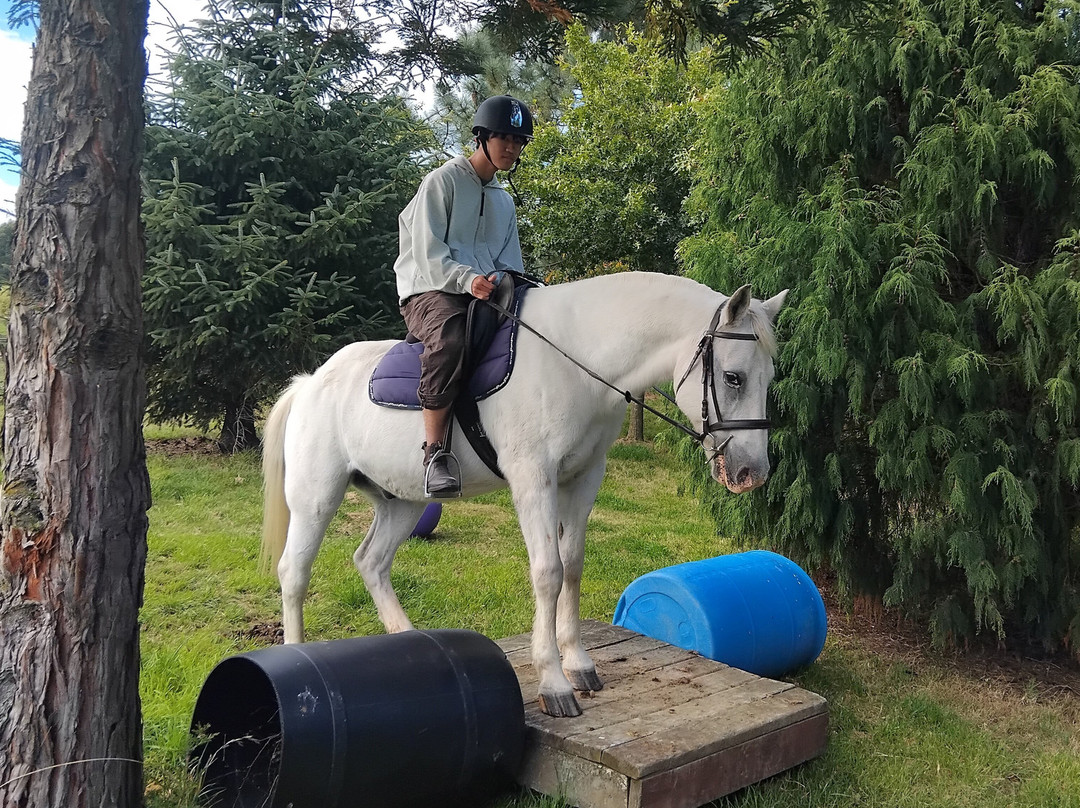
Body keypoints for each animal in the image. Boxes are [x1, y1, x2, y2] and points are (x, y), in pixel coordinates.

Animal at [261, 271, 788, 717]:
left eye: (769, 379)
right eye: (734, 377)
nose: (753, 473)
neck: (577, 359)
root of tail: (309, 383)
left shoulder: (584, 478)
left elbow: (572, 564)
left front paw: (578, 663)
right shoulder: (534, 479)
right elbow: (548, 572)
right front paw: (553, 681)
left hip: (404, 501)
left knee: (370, 561)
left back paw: (409, 641)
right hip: (316, 498)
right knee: (294, 572)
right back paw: (297, 655)